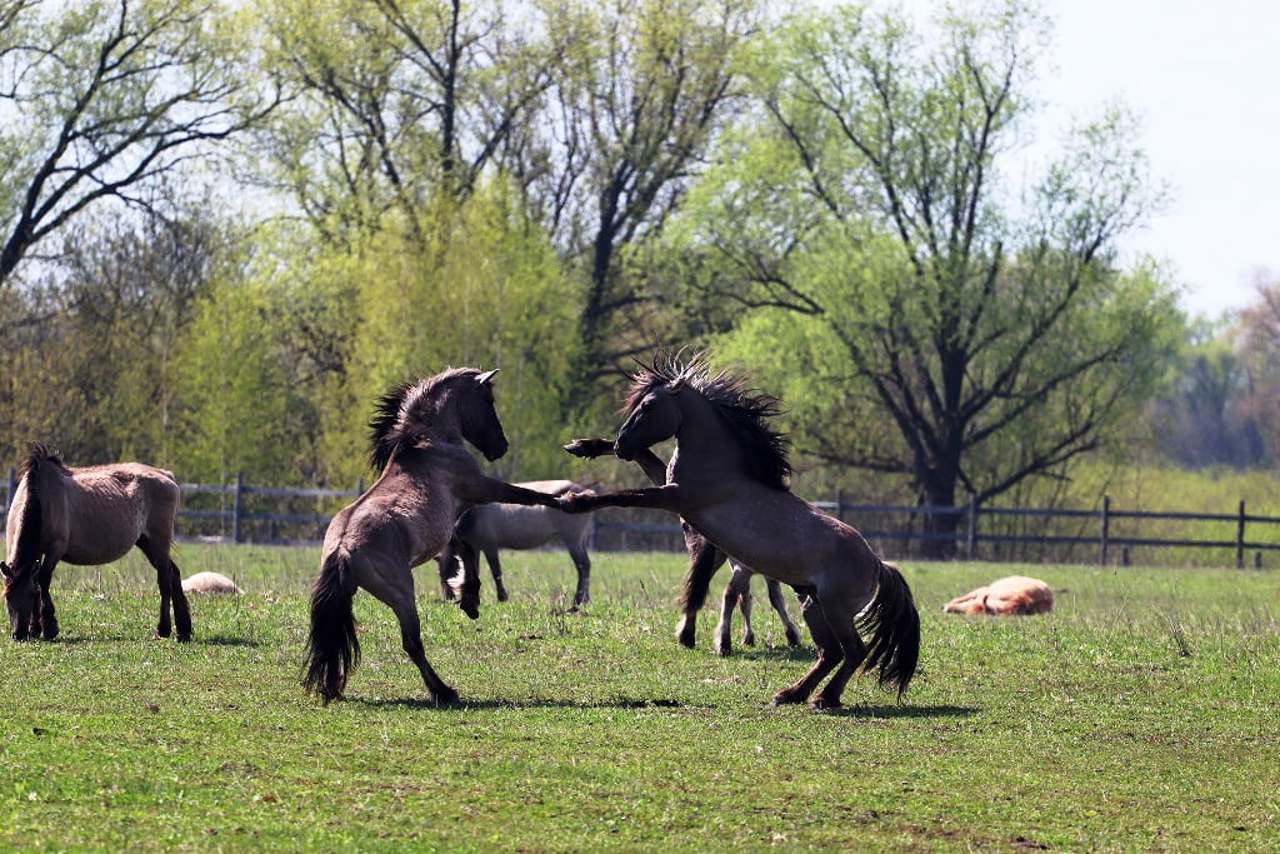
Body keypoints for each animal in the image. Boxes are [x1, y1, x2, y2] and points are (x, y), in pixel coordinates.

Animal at [1, 445, 192, 645]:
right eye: (7, 597)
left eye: (29, 595)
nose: (18, 635)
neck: (41, 497)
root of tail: (166, 475)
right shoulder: (38, 552)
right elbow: (38, 581)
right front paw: (35, 629)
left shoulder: (55, 550)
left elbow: (43, 581)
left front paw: (49, 627)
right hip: (147, 543)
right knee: (173, 573)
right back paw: (183, 631)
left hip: (158, 542)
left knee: (164, 580)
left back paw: (163, 628)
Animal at [302, 368, 563, 706]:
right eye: (488, 400)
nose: (501, 447)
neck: (429, 444)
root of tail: (343, 550)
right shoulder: (481, 489)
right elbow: (527, 495)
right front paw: (571, 501)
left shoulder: (448, 530)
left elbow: (466, 552)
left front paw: (470, 600)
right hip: (402, 595)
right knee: (412, 643)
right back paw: (443, 691)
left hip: (349, 595)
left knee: (339, 635)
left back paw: (332, 686)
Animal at [437, 481, 596, 606]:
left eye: (448, 572)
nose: (449, 599)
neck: (470, 516)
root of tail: (589, 492)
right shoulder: (475, 546)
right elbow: (475, 569)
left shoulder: (489, 545)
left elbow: (496, 572)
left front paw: (502, 597)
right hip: (580, 539)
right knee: (586, 565)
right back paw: (585, 599)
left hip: (572, 539)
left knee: (582, 565)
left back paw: (579, 599)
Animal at [560, 353, 921, 706]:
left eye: (648, 406)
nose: (622, 444)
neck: (719, 464)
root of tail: (878, 564)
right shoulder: (671, 485)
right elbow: (645, 459)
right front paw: (583, 446)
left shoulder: (675, 497)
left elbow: (625, 496)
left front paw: (574, 500)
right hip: (813, 605)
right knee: (830, 653)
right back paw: (791, 694)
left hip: (835, 609)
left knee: (853, 651)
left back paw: (824, 698)